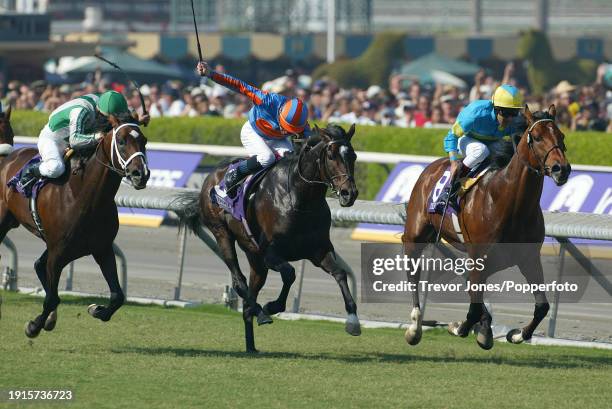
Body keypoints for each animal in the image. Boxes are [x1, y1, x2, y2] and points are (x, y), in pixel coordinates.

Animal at [0, 112, 149, 338]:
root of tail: (9, 157)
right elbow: (52, 298)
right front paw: (34, 326)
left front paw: (96, 309)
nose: (141, 174)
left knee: (39, 264)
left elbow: (117, 296)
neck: (84, 197)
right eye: (122, 141)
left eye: (144, 141)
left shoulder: (102, 249)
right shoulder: (58, 253)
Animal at [178, 122, 358, 352]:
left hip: (254, 257)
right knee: (239, 282)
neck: (299, 198)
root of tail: (211, 177)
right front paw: (271, 306)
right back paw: (261, 314)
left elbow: (340, 274)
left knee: (249, 296)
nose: (349, 193)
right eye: (331, 156)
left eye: (353, 156)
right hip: (222, 234)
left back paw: (251, 346)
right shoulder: (270, 253)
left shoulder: (318, 250)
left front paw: (353, 321)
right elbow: (289, 274)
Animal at [404, 104, 572, 348]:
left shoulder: (528, 258)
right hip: (415, 234)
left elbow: (542, 306)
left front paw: (516, 334)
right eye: (537, 137)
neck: (510, 202)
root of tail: (433, 166)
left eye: (561, 136)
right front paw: (459, 328)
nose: (562, 169)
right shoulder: (479, 255)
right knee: (413, 273)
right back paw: (415, 327)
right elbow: (473, 307)